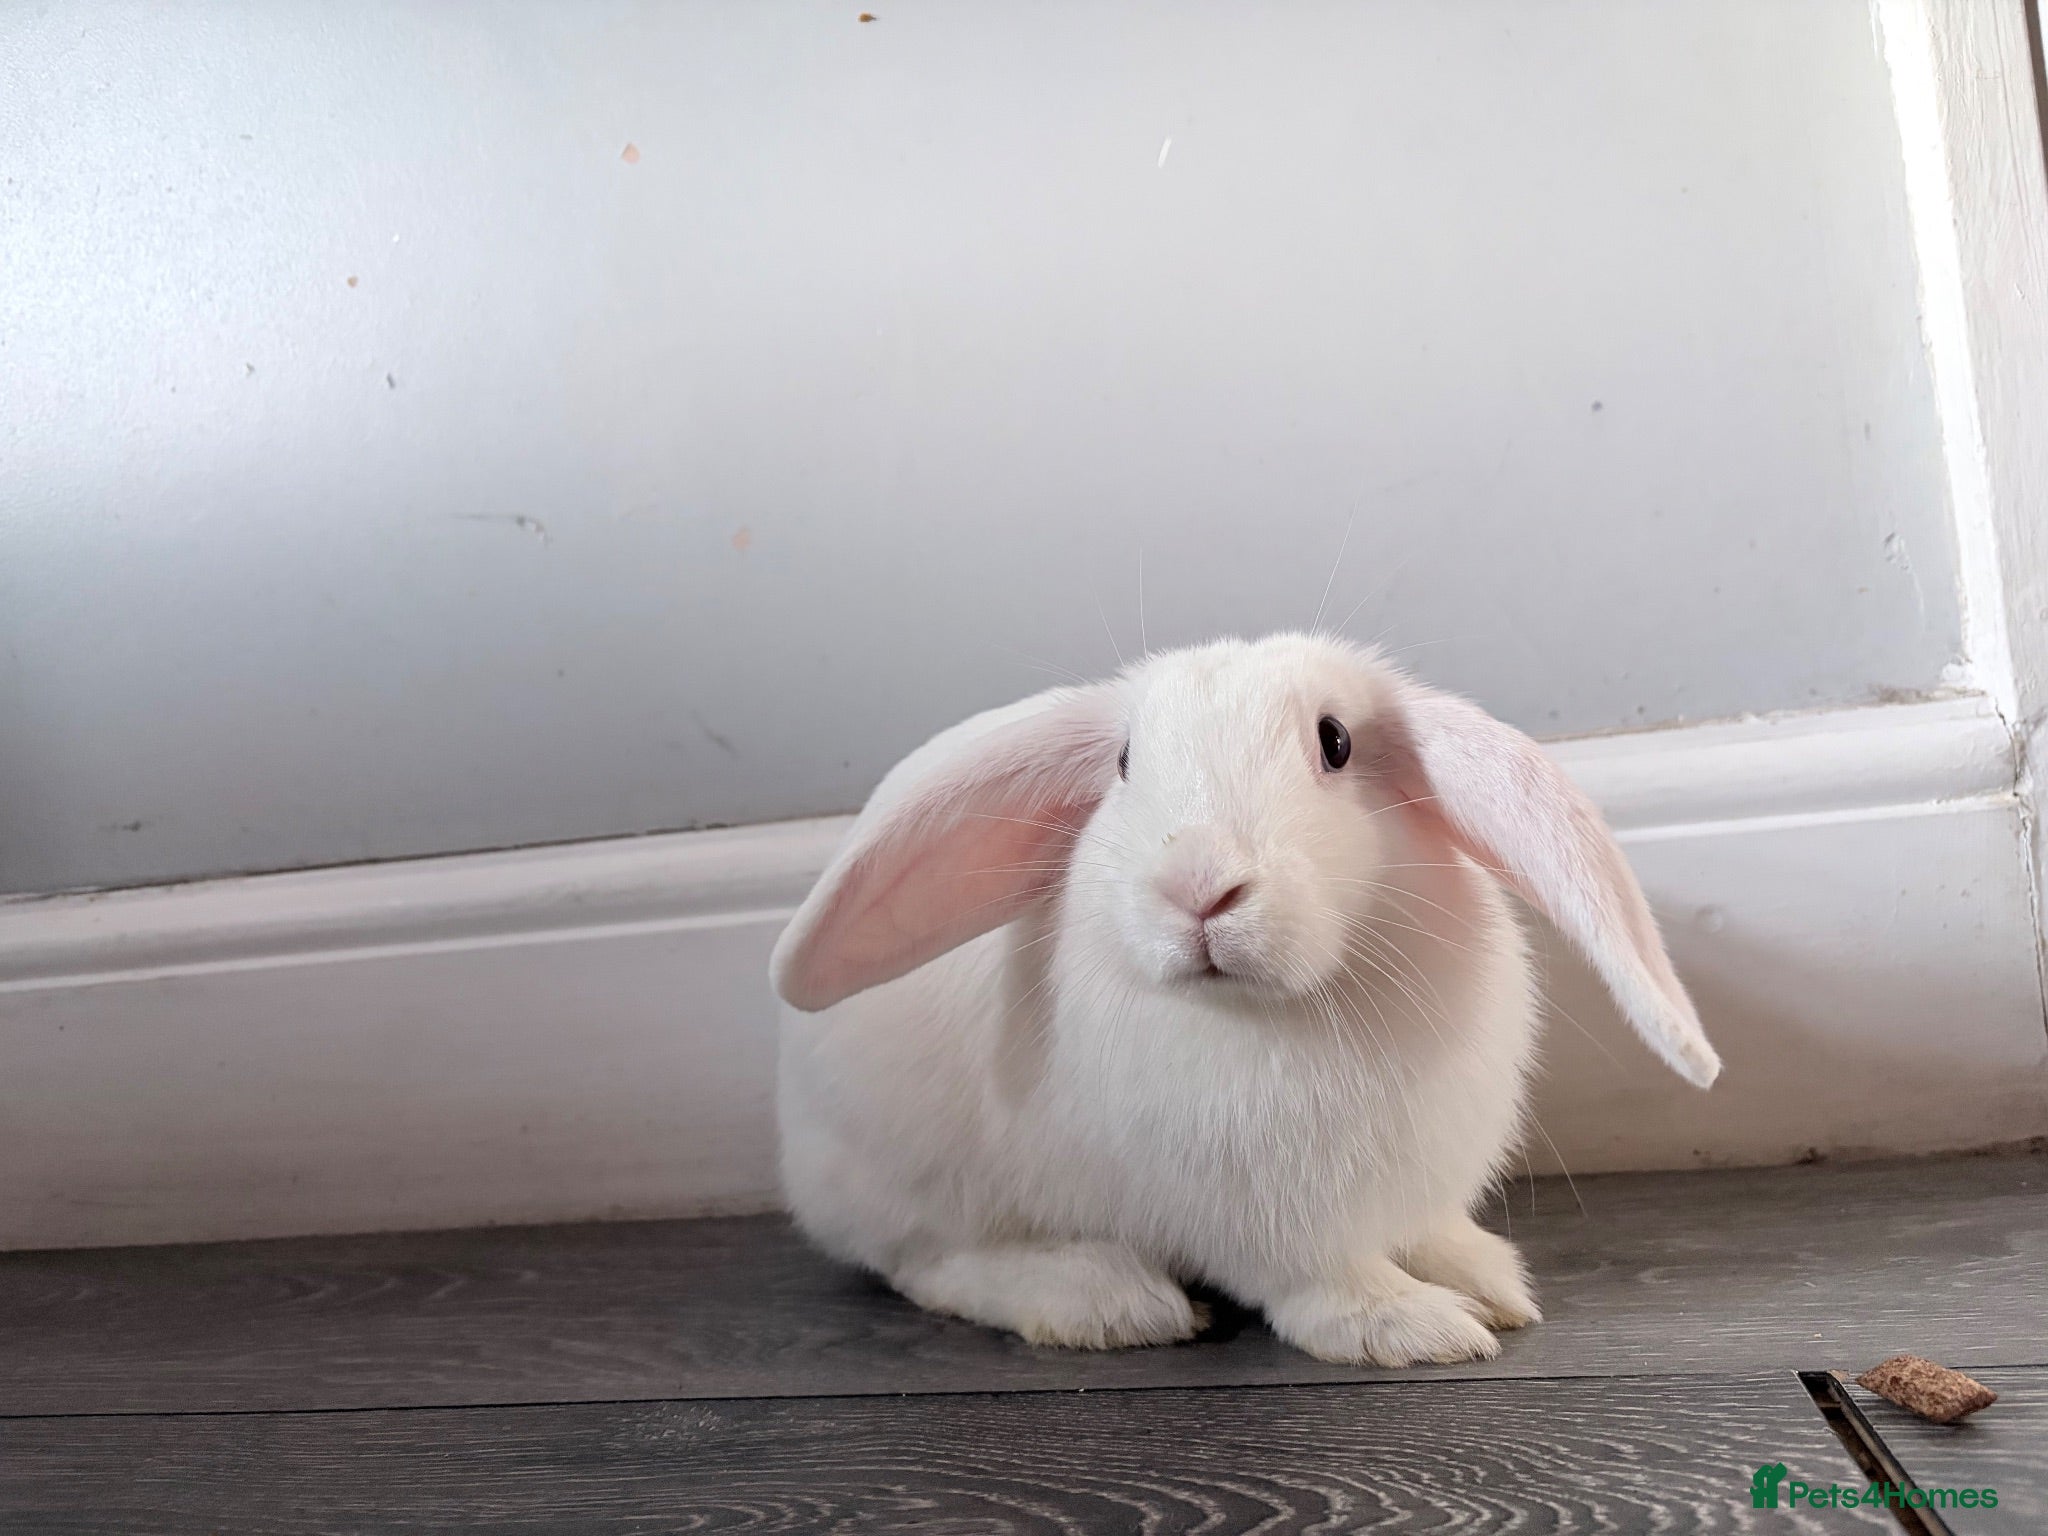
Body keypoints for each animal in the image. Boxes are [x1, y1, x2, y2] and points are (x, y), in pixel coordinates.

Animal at [770, 633, 1718, 1365]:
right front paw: (1413, 1325)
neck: (1273, 1014)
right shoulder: (1261, 1225)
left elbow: (1431, 1233)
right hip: (917, 1178)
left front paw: (1487, 1278)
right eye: (1123, 762)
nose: (1199, 886)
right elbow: (1324, 1283)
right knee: (929, 1266)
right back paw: (1106, 1300)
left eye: (1335, 741)